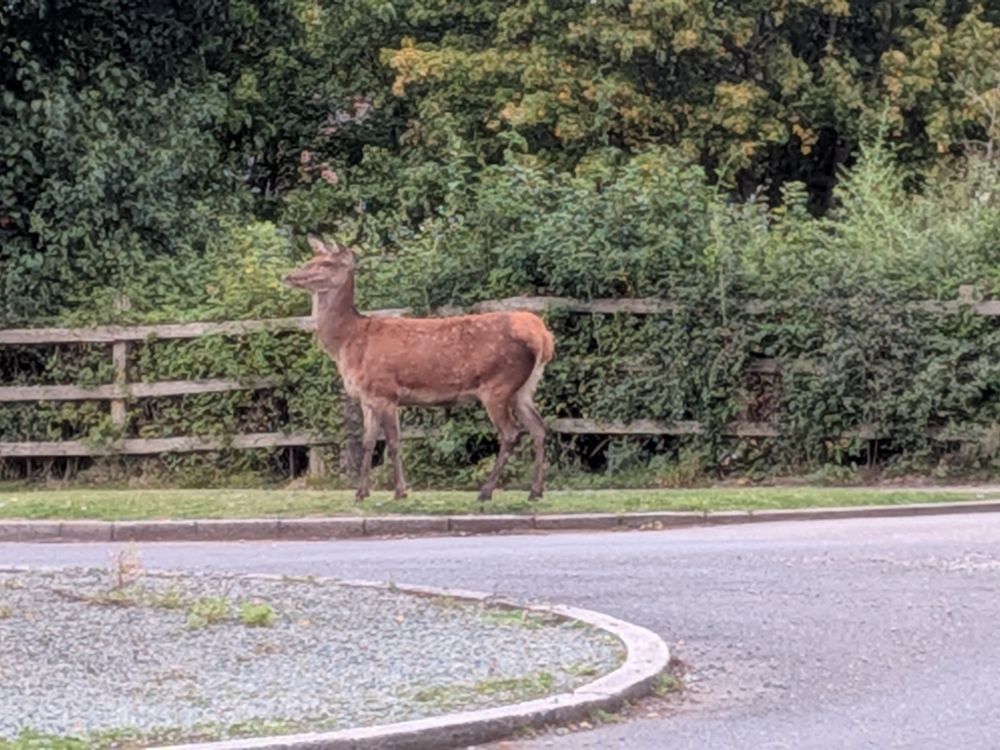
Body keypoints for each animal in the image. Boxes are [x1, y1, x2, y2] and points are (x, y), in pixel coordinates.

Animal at [283, 236, 555, 503]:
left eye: (327, 263)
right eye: (312, 258)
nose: (289, 276)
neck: (348, 343)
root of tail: (543, 337)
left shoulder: (384, 391)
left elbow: (393, 442)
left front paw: (399, 491)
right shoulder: (368, 398)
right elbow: (368, 442)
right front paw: (361, 493)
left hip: (498, 384)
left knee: (511, 433)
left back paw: (486, 491)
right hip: (524, 388)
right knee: (539, 427)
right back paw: (535, 491)